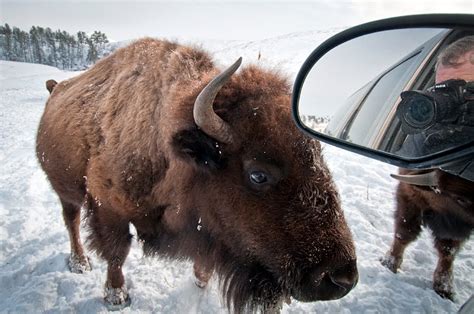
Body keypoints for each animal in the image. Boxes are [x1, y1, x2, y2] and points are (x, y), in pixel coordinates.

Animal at [36, 38, 356, 312]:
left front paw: (200, 281)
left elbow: (205, 254)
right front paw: (117, 297)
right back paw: (80, 263)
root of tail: (56, 89)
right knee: (71, 220)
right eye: (258, 175)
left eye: (319, 158)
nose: (342, 278)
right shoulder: (109, 210)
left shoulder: (208, 227)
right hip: (65, 191)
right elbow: (117, 253)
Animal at [382, 168, 474, 300]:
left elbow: (448, 250)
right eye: (460, 199)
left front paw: (445, 289)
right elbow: (404, 233)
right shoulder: (409, 194)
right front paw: (389, 263)